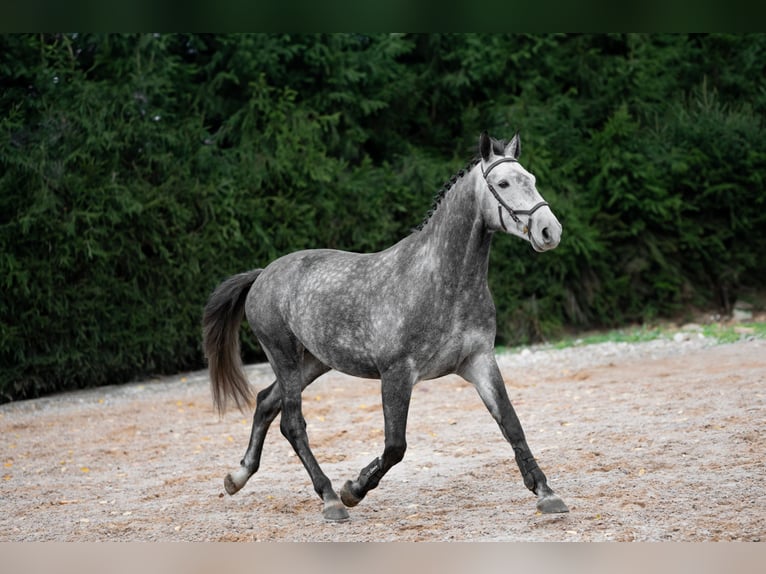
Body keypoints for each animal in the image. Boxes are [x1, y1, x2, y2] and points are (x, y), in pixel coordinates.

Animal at [204, 132, 568, 520]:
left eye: (531, 179)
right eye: (502, 184)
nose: (549, 231)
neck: (445, 281)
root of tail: (262, 275)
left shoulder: (479, 361)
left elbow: (511, 424)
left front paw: (546, 492)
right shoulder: (396, 374)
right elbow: (395, 446)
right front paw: (353, 489)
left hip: (313, 362)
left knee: (265, 403)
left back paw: (237, 477)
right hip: (283, 356)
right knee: (292, 423)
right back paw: (331, 498)